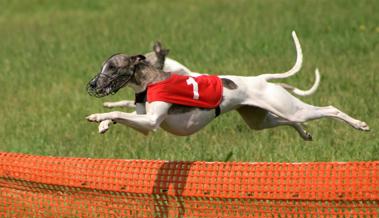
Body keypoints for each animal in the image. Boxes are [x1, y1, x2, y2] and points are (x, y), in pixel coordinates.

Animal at [87, 31, 372, 140]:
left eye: (112, 68)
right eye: (103, 67)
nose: (92, 85)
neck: (149, 81)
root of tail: (261, 79)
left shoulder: (151, 122)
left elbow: (118, 110)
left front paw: (97, 116)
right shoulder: (143, 121)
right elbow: (121, 113)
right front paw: (104, 123)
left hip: (290, 108)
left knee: (329, 109)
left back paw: (360, 125)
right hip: (260, 119)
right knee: (291, 121)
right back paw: (305, 133)